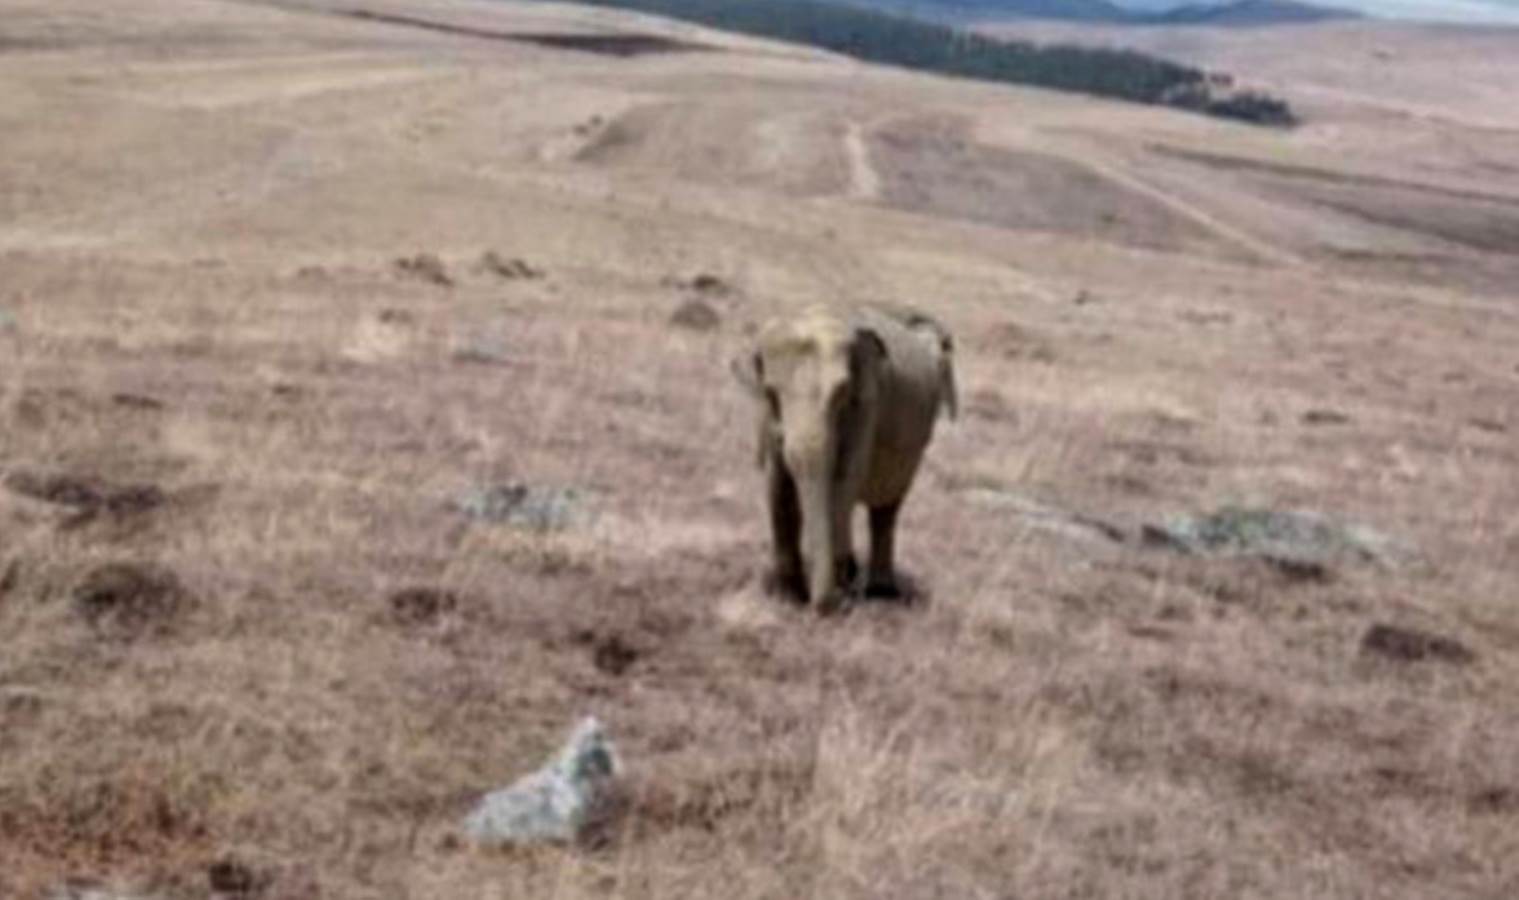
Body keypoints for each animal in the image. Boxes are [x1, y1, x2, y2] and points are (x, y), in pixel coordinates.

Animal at [729, 304, 953, 611]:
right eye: (771, 393)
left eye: (841, 394)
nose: (825, 605)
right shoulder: (766, 417)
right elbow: (778, 485)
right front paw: (787, 597)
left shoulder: (868, 402)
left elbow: (844, 476)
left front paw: (836, 587)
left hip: (914, 448)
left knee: (886, 508)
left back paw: (879, 591)